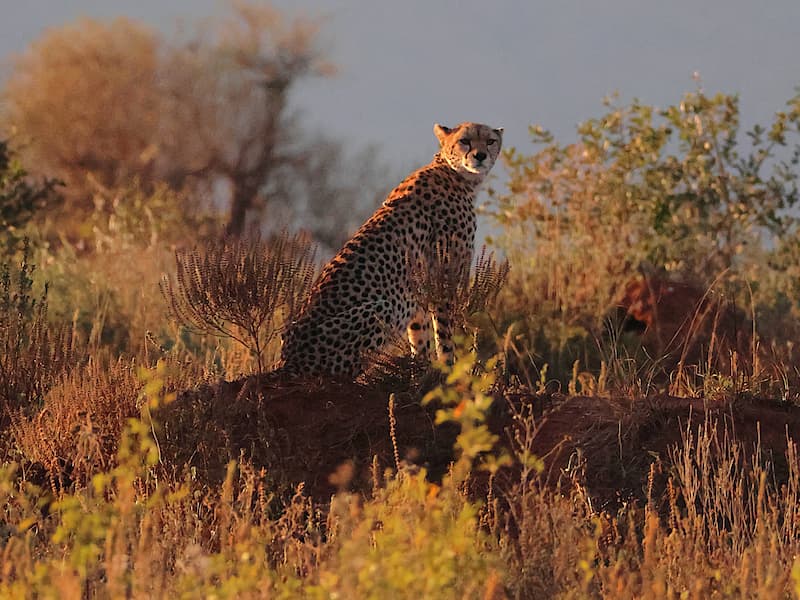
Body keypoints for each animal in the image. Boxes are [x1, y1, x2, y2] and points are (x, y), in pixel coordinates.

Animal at [282, 122, 504, 378]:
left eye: (490, 141)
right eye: (465, 141)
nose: (480, 156)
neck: (453, 172)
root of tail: (288, 363)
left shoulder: (419, 289)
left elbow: (420, 334)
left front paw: (422, 369)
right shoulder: (444, 277)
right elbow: (446, 332)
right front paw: (451, 369)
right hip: (382, 307)